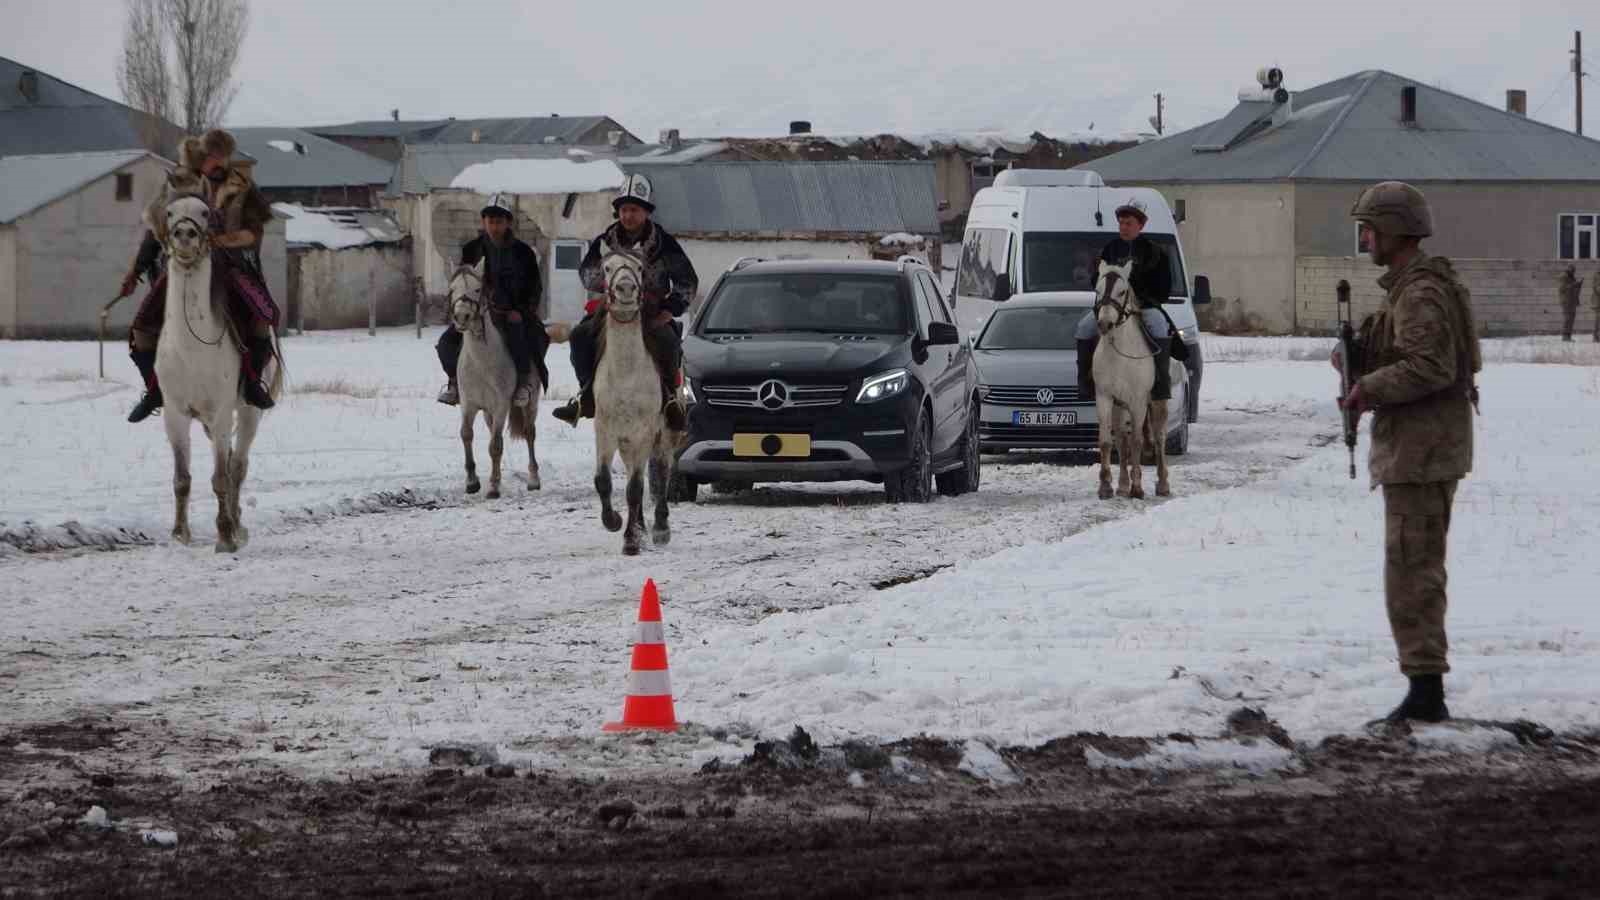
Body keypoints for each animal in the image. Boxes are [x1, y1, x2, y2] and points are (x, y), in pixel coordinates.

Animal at [155, 192, 281, 550]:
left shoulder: (222, 413)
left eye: (204, 212)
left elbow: (221, 477)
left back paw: (237, 526)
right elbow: (182, 479)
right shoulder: (175, 415)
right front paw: (179, 534)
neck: (191, 349)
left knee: (237, 466)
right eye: (170, 213)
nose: (185, 235)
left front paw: (225, 536)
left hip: (249, 413)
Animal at [451, 259, 544, 496]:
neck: (481, 362)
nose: (461, 317)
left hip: (530, 403)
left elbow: (495, 445)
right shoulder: (469, 404)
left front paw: (493, 486)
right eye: (452, 289)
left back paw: (533, 479)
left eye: (477, 289)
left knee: (529, 433)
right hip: (487, 413)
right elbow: (466, 434)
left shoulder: (501, 405)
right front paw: (472, 481)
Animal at [595, 248, 681, 550]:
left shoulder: (644, 432)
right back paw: (642, 525)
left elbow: (635, 488)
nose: (625, 289)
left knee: (662, 473)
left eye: (640, 268)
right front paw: (614, 521)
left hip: (665, 434)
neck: (625, 372)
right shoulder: (605, 430)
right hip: (626, 442)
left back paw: (660, 528)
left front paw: (631, 540)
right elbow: (603, 481)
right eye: (607, 268)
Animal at [1094, 259, 1171, 499]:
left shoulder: (1138, 401)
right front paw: (1106, 487)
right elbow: (1107, 442)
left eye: (1122, 291)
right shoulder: (1105, 397)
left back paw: (1163, 484)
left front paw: (1137, 488)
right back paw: (1122, 485)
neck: (1119, 353)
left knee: (1159, 437)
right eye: (1098, 290)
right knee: (1121, 438)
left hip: (1156, 402)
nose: (1105, 324)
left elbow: (1137, 442)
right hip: (1120, 406)